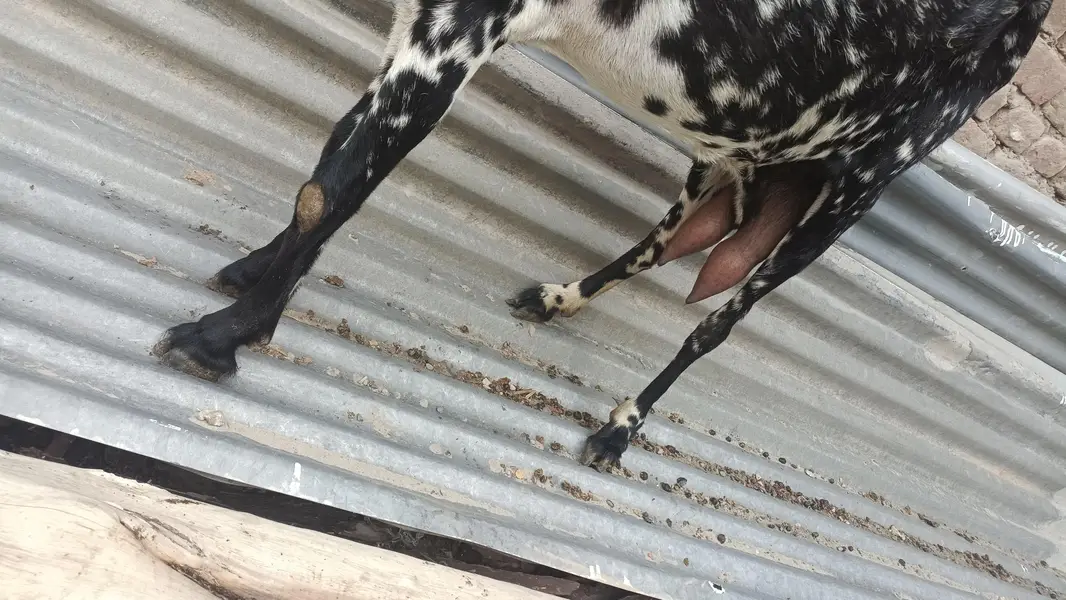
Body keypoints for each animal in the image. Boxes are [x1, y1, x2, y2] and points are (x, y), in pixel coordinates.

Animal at [154, 0, 1050, 471]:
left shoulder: (459, 27)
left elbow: (335, 187)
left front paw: (222, 338)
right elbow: (333, 170)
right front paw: (252, 276)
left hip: (864, 181)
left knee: (720, 323)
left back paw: (620, 427)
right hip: (738, 147)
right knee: (664, 239)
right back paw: (560, 299)